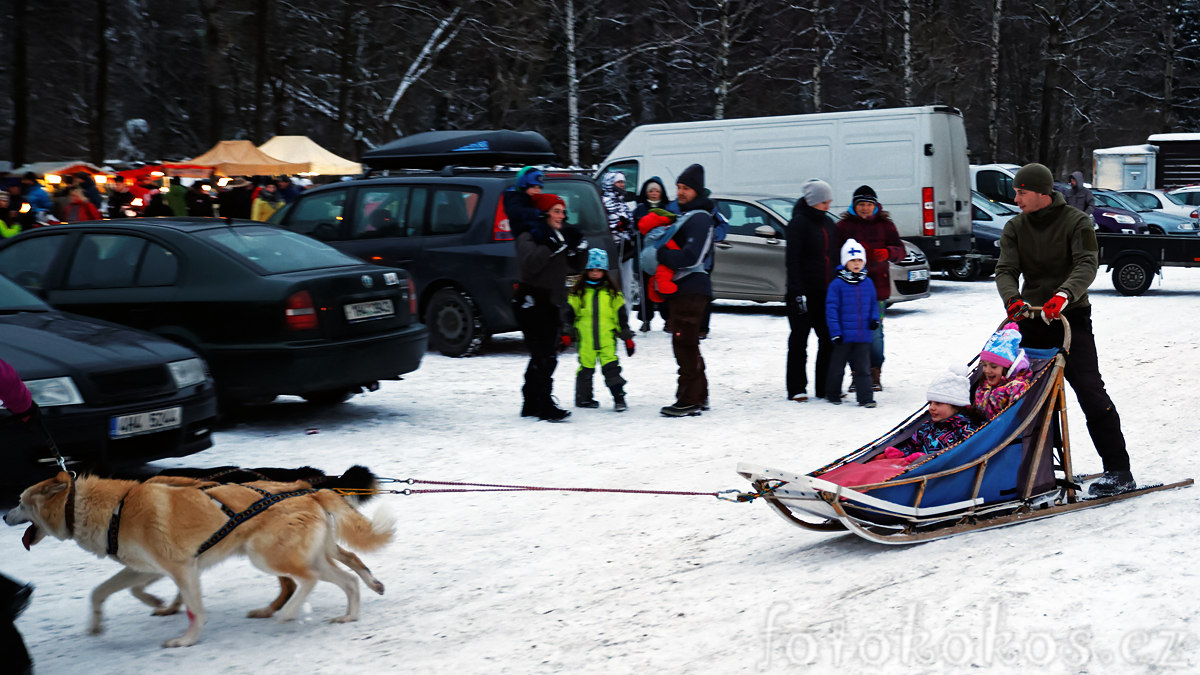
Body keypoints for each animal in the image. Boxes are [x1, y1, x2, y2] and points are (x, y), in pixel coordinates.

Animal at [7, 470, 396, 643]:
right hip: (303, 555)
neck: (117, 509)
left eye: (21, 502)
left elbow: (195, 609)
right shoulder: (144, 569)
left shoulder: (182, 568)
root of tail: (309, 490)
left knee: (310, 580)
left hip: (268, 556)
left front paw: (185, 639)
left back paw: (288, 613)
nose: (4, 516)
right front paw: (97, 625)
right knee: (346, 578)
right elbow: (101, 592)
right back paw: (348, 614)